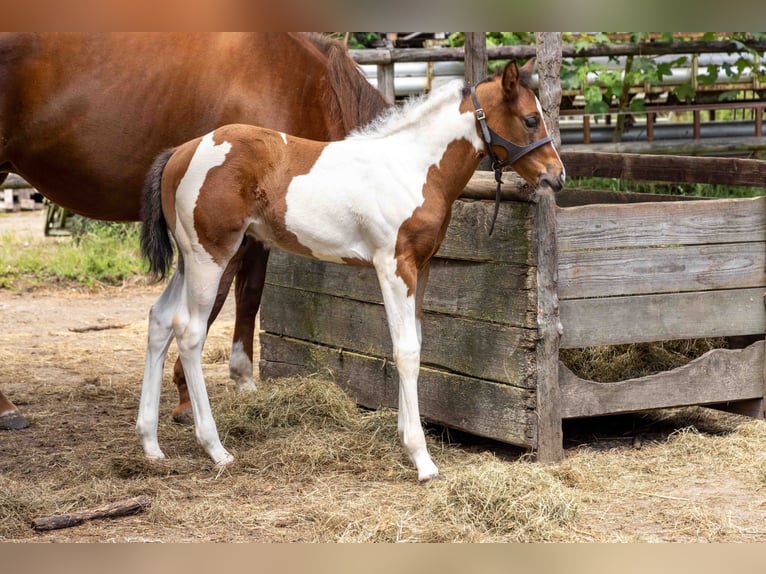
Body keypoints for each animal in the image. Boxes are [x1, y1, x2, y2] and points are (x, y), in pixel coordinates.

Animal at [0, 32, 389, 430]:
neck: (306, 89)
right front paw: (189, 398)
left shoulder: (255, 232)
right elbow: (213, 303)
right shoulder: (221, 234)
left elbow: (248, 295)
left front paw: (240, 381)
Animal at [137, 60, 566, 481]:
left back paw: (151, 444)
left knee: (159, 319)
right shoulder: (394, 265)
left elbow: (416, 342)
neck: (412, 167)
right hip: (211, 256)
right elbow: (405, 351)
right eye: (530, 120)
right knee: (189, 333)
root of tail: (181, 152)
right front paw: (421, 457)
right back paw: (216, 449)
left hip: (188, 259)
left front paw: (403, 434)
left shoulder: (422, 267)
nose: (557, 176)